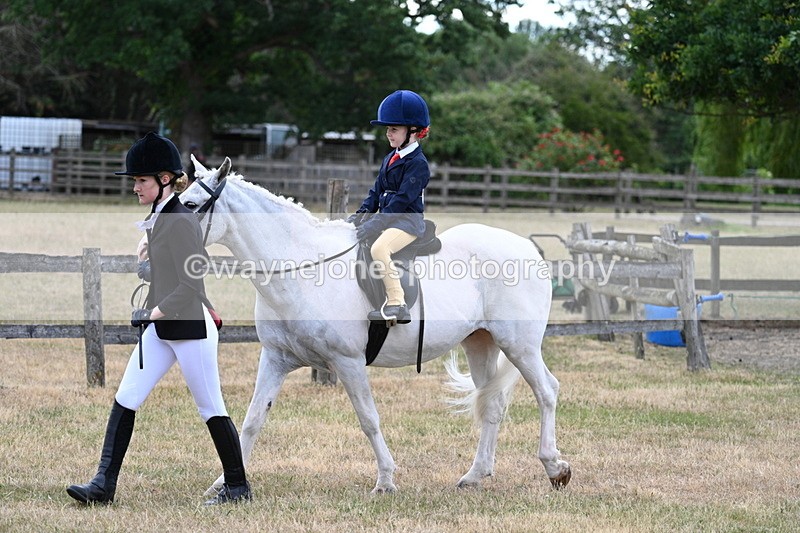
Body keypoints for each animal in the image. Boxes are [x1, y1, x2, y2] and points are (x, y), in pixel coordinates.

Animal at [179, 156, 572, 494]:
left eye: (191, 204)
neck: (301, 268)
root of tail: (527, 248)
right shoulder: (276, 359)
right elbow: (252, 419)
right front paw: (222, 484)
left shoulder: (348, 362)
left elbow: (368, 419)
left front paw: (385, 481)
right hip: (480, 342)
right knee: (492, 404)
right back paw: (475, 475)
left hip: (519, 344)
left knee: (547, 391)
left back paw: (555, 468)